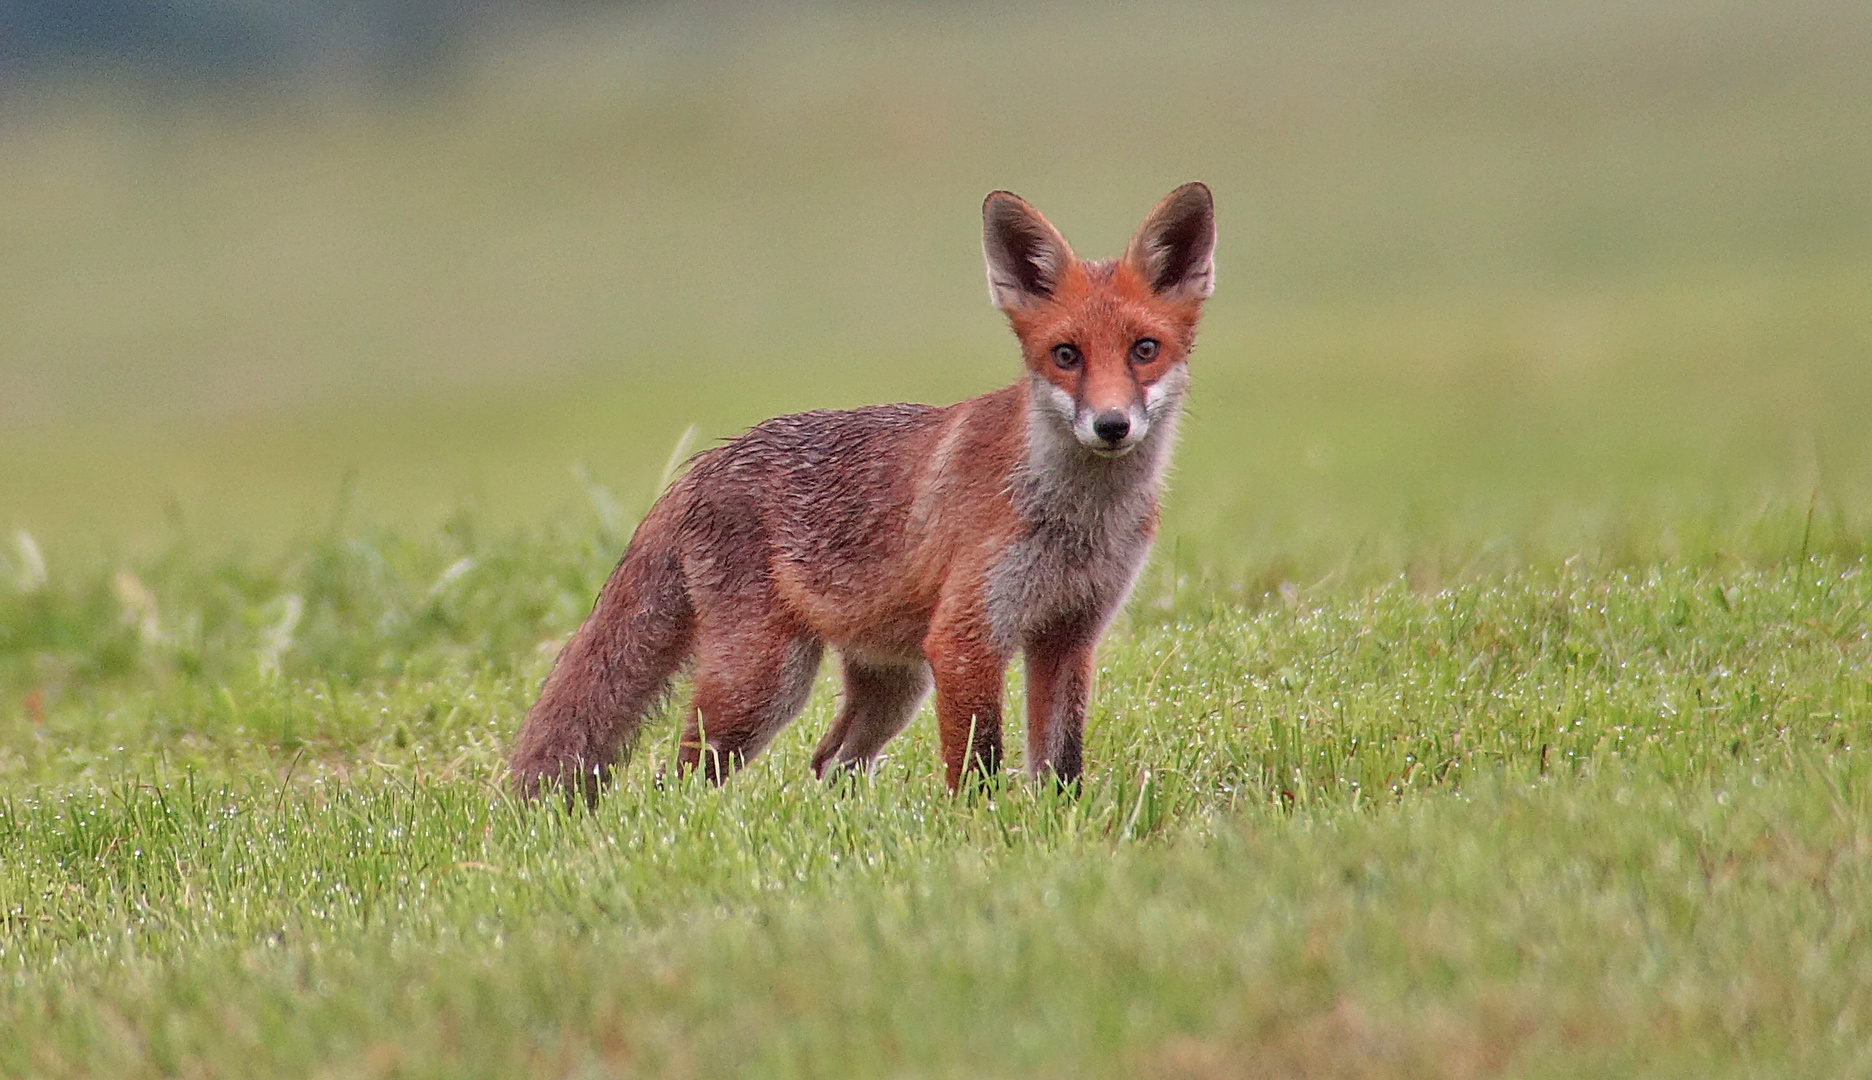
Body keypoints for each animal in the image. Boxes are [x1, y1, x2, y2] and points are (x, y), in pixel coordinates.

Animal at [512, 183, 1213, 801]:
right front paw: (979, 832)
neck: (1078, 520)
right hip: (763, 684)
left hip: (891, 685)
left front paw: (1053, 827)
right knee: (675, 779)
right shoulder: (964, 638)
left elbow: (1061, 764)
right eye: (1066, 355)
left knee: (829, 761)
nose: (1111, 425)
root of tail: (705, 460)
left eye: (1144, 350)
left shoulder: (1067, 637)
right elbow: (979, 764)